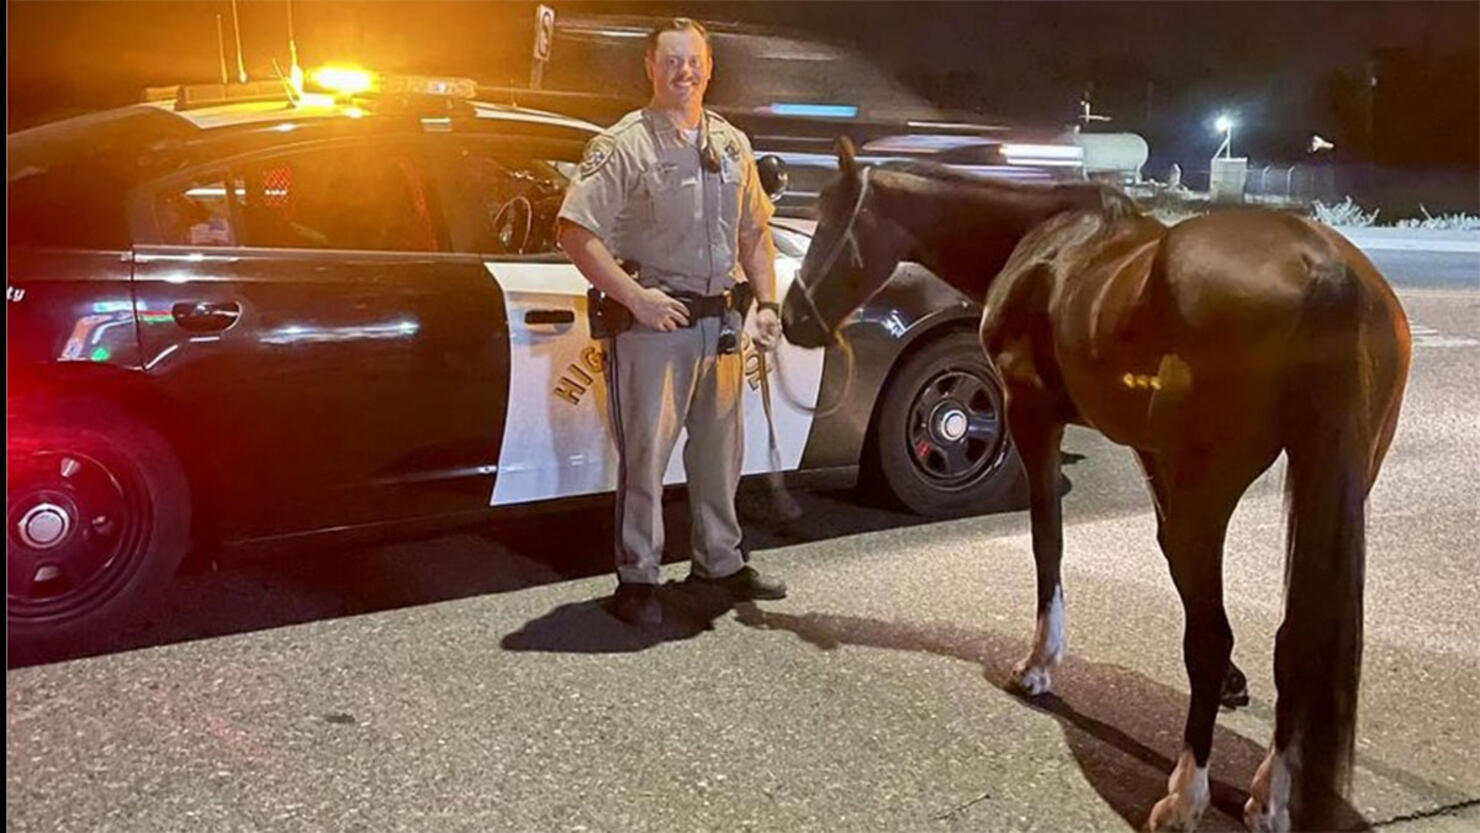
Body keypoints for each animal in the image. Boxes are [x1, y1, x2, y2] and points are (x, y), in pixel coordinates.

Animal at [781, 139, 1414, 828]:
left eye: (833, 221)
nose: (792, 318)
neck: (1040, 241)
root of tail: (1324, 272)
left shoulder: (1032, 418)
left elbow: (1048, 543)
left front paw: (1038, 665)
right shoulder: (1149, 449)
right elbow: (1169, 557)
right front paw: (1232, 685)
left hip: (1210, 484)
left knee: (1214, 636)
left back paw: (1186, 793)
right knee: (1293, 639)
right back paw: (1269, 793)